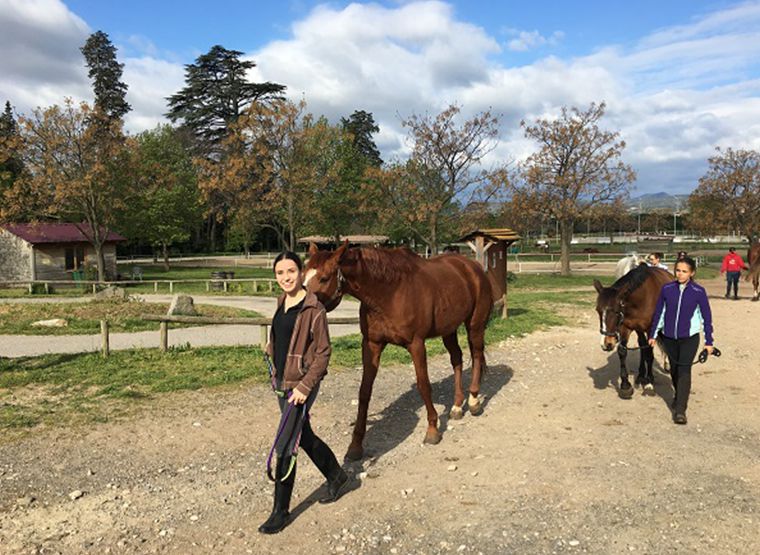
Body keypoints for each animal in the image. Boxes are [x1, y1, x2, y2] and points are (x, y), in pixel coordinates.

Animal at [306, 242, 496, 460]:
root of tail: (473, 267)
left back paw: (473, 401)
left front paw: (432, 431)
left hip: (475, 325)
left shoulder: (416, 344)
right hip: (449, 330)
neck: (390, 291)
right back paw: (457, 406)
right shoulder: (371, 344)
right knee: (457, 359)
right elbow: (364, 392)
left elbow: (424, 385)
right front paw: (355, 445)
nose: (303, 306)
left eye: (323, 278)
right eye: (303, 274)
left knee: (477, 355)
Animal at [592, 266, 672, 400]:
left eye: (616, 311)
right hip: (639, 329)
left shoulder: (651, 329)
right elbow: (623, 351)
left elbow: (649, 352)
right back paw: (640, 375)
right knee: (642, 345)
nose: (606, 344)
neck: (642, 298)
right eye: (598, 310)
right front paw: (625, 386)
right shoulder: (626, 327)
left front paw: (649, 384)